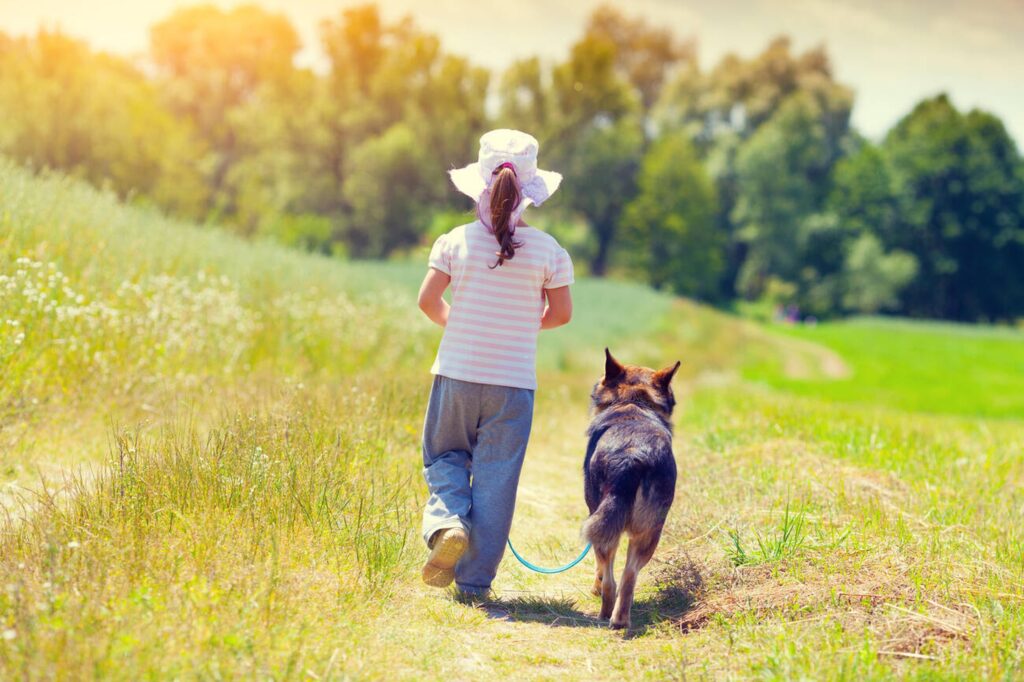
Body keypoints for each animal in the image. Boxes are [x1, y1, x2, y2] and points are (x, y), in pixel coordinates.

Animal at [581, 348, 675, 630]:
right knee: (629, 577)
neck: (635, 401)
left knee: (611, 579)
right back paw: (620, 619)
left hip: (602, 527)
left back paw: (605, 614)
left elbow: (601, 571)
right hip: (650, 531)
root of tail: (633, 456)